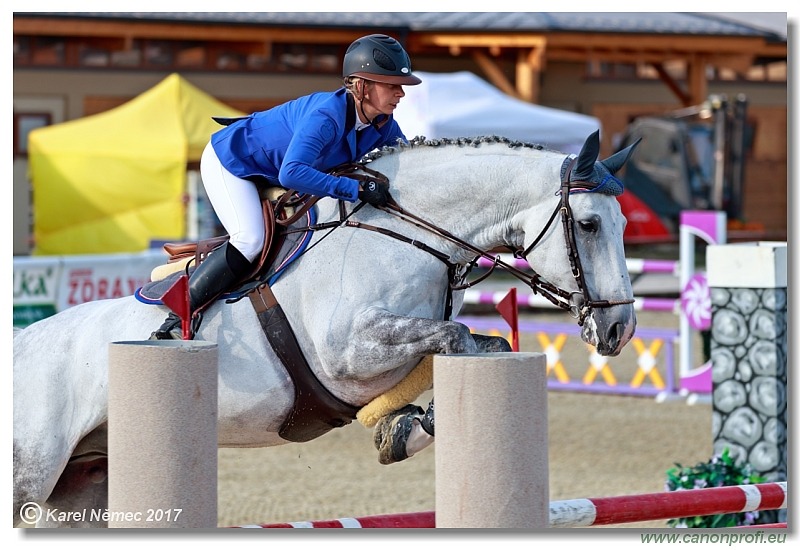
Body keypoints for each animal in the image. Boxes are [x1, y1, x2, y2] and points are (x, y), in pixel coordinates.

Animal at [10, 130, 636, 532]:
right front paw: (405, 428)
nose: (620, 329)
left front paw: (401, 429)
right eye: (589, 224)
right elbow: (454, 337)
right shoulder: (348, 352)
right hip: (29, 474)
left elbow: (480, 344)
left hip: (82, 486)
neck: (408, 233)